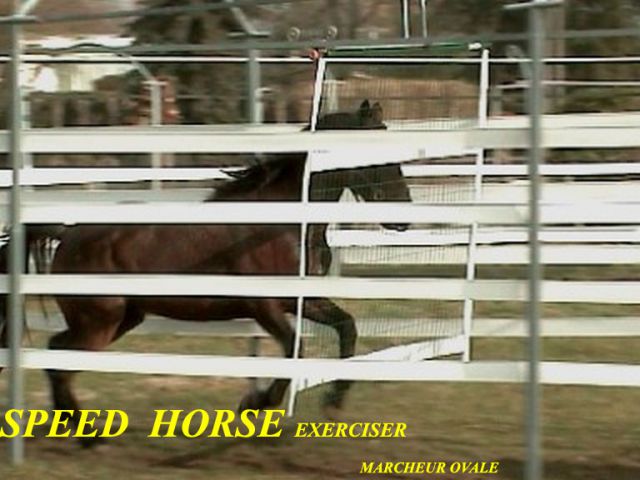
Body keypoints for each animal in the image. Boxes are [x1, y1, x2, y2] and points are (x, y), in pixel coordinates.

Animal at [0, 100, 411, 433]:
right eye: (378, 155)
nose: (403, 217)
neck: (284, 222)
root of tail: (67, 234)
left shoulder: (303, 299)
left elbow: (347, 327)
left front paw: (333, 405)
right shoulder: (264, 306)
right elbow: (294, 349)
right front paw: (255, 403)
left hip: (119, 320)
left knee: (57, 355)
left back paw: (76, 429)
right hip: (98, 323)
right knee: (59, 361)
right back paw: (84, 433)